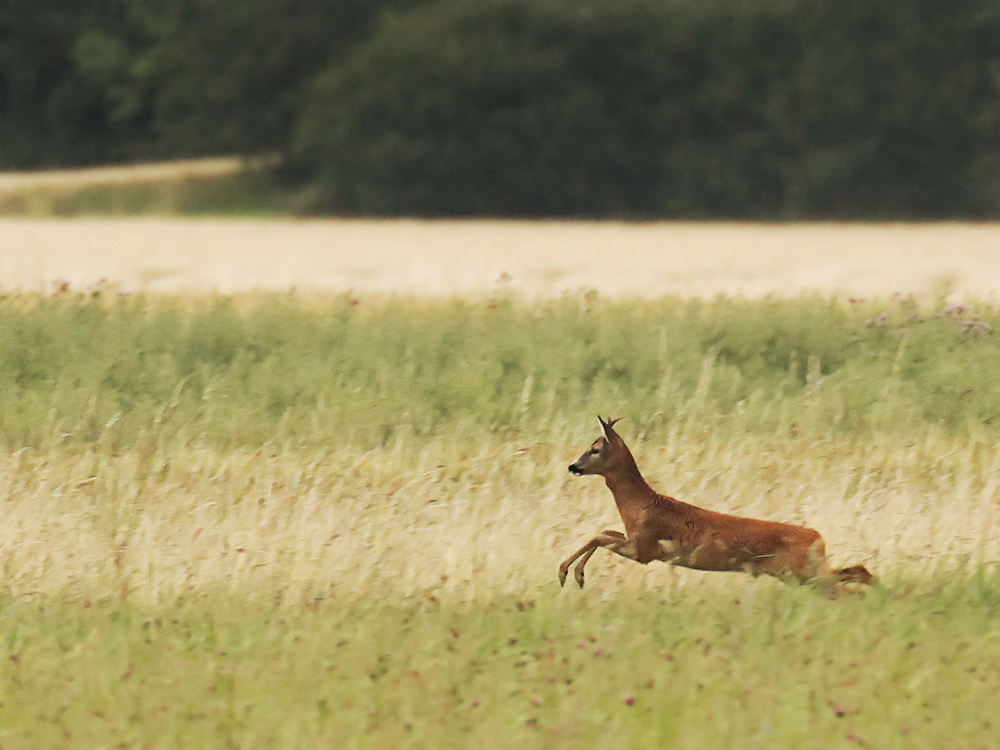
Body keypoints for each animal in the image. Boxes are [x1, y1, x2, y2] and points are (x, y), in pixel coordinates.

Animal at [564, 418, 876, 592]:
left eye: (595, 449)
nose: (573, 466)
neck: (639, 504)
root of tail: (818, 538)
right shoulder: (637, 542)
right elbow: (604, 531)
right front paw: (576, 575)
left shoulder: (646, 549)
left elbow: (599, 535)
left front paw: (568, 573)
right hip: (801, 574)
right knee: (857, 572)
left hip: (803, 572)